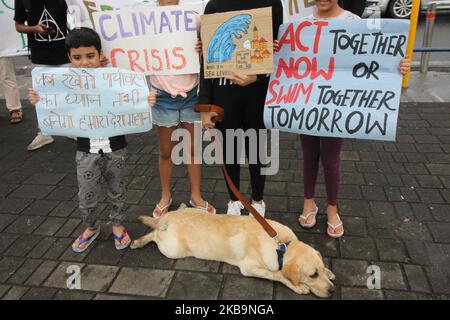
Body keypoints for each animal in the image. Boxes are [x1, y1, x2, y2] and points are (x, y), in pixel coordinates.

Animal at [130, 205, 334, 298]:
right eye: (312, 275)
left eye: (320, 270)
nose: (332, 290)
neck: (283, 245)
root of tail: (169, 218)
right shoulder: (249, 268)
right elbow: (278, 275)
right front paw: (298, 286)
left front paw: (330, 272)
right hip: (172, 248)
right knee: (155, 234)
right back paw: (139, 241)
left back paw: (180, 205)